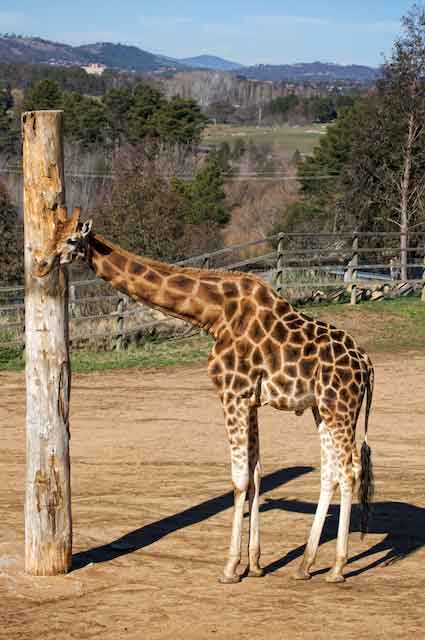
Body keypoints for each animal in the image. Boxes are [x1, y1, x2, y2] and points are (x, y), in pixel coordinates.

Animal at [34, 210, 374, 584]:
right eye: (51, 234)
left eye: (71, 240)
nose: (40, 264)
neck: (213, 313)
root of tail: (366, 365)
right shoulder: (250, 400)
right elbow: (256, 474)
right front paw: (255, 565)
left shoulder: (232, 392)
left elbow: (239, 480)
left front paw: (230, 568)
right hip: (322, 409)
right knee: (331, 471)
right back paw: (305, 565)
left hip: (340, 408)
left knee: (350, 471)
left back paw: (338, 568)